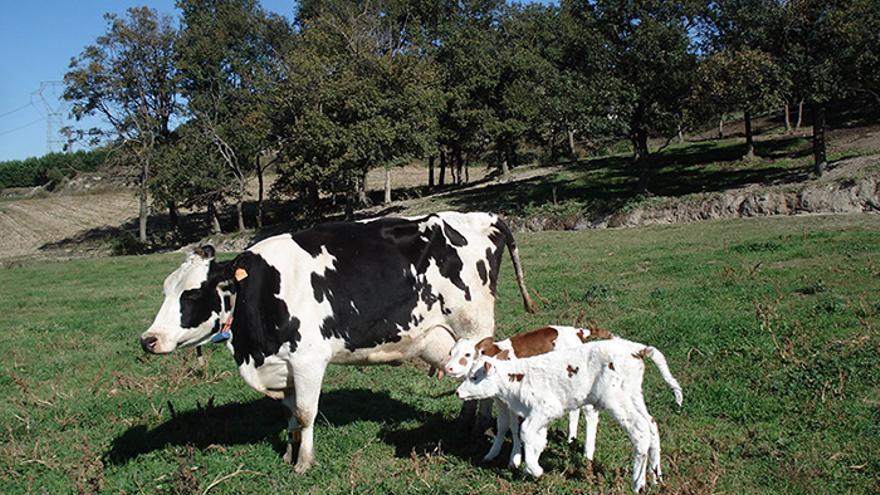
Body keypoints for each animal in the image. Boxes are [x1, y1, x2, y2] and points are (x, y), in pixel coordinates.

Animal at [141, 211, 536, 474]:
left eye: (193, 293)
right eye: (165, 290)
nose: (149, 340)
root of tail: (484, 217)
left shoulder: (308, 359)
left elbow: (305, 412)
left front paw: (303, 463)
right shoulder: (285, 366)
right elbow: (290, 414)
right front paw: (288, 452)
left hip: (474, 326)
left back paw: (477, 428)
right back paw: (464, 425)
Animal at [446, 328, 612, 466]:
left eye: (467, 354)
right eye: (450, 353)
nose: (448, 368)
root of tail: (578, 331)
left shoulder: (512, 402)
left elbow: (514, 427)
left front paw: (515, 459)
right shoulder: (500, 401)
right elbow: (502, 426)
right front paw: (492, 454)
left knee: (590, 414)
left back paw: (587, 453)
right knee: (574, 411)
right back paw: (571, 438)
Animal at [458, 340, 684, 490]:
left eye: (474, 376)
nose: (458, 392)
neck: (518, 378)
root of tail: (636, 349)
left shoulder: (546, 407)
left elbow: (525, 432)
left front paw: (536, 470)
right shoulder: (539, 416)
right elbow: (538, 440)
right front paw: (530, 468)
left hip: (616, 400)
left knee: (640, 431)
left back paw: (638, 484)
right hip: (633, 396)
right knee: (652, 425)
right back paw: (656, 477)